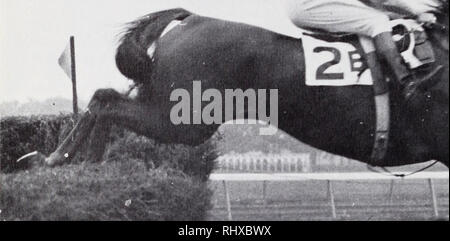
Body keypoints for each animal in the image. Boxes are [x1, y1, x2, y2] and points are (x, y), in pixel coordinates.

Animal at [29, 8, 448, 169]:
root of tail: (191, 18)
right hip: (182, 119)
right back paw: (58, 159)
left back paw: (80, 161)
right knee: (106, 102)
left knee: (106, 99)